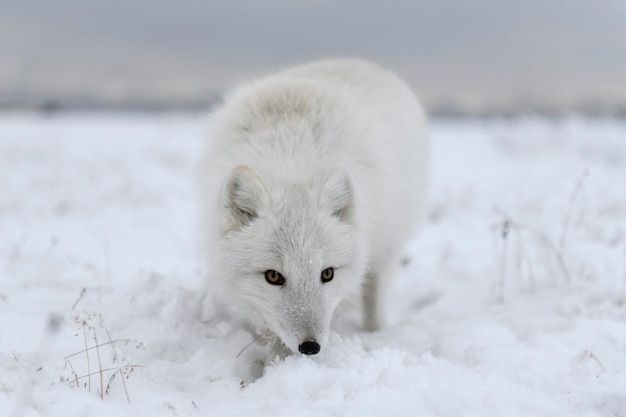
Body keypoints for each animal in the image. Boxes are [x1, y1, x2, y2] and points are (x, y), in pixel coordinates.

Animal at [197, 57, 426, 358]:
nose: (310, 347)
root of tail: (361, 61)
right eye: (273, 276)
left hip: (387, 246)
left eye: (327, 274)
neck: (290, 159)